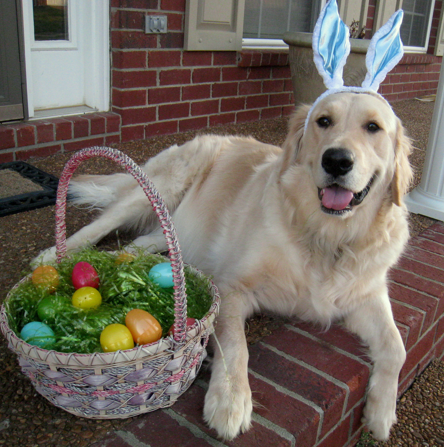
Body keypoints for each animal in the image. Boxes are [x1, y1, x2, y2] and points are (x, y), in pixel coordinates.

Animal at [35, 91, 412, 440]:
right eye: (323, 121)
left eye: (373, 127)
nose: (336, 160)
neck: (327, 237)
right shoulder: (231, 286)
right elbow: (235, 346)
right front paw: (231, 400)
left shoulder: (366, 294)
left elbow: (397, 347)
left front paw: (381, 413)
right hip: (161, 186)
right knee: (100, 224)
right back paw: (52, 256)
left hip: (170, 228)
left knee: (138, 244)